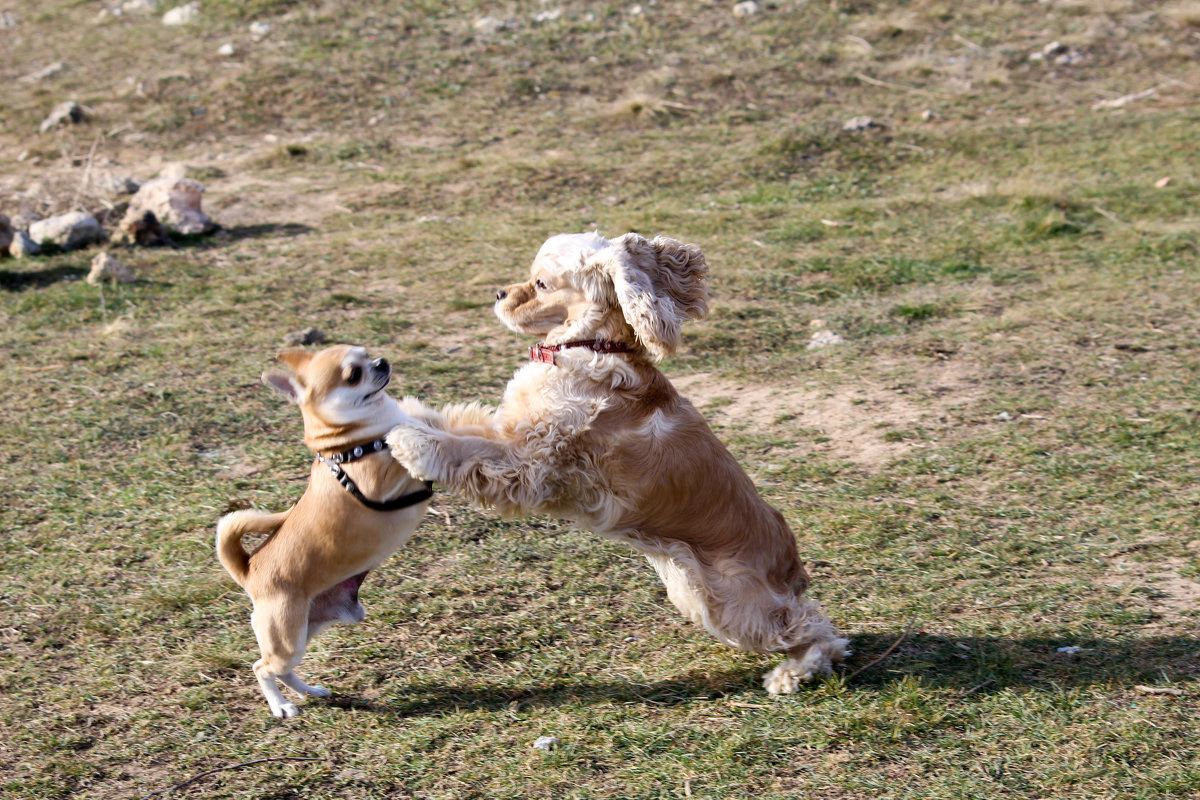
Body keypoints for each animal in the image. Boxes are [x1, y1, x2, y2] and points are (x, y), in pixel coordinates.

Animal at [216, 345, 432, 719]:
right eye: (353, 375)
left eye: (366, 353)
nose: (381, 362)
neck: (348, 443)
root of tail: (249, 570)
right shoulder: (382, 478)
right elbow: (407, 439)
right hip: (286, 638)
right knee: (262, 667)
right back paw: (280, 706)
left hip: (308, 628)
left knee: (283, 670)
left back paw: (312, 691)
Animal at [388, 231, 849, 695]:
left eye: (541, 283)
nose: (499, 293)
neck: (587, 347)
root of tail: (792, 568)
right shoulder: (513, 428)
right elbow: (457, 424)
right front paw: (405, 415)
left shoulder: (532, 461)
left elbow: (466, 451)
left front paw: (412, 443)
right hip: (694, 596)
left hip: (735, 605)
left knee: (815, 630)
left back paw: (794, 673)